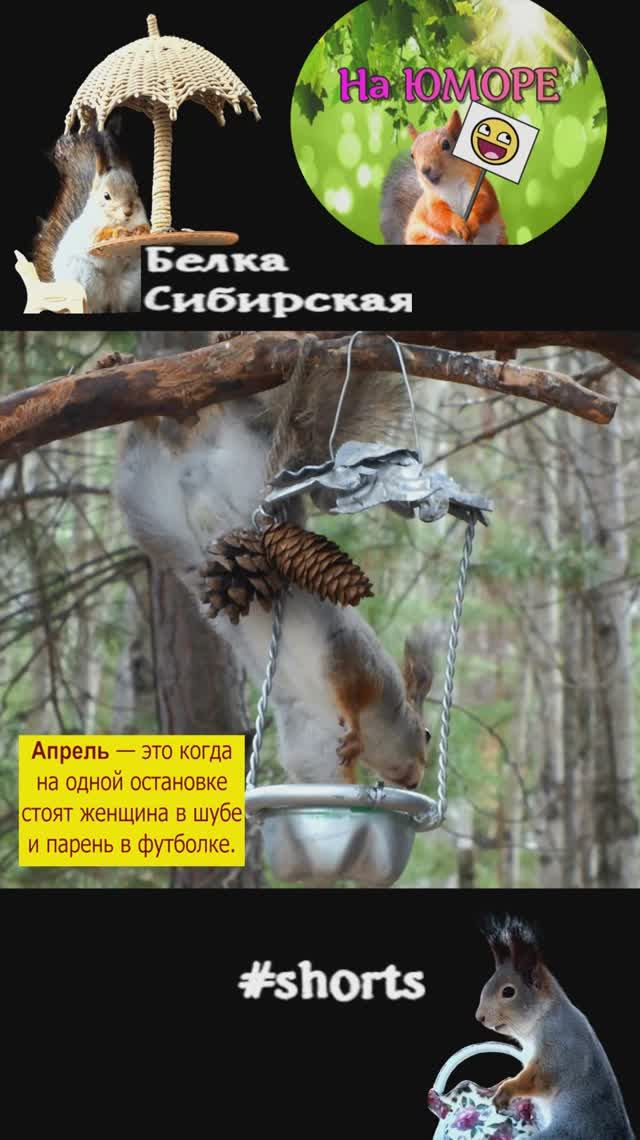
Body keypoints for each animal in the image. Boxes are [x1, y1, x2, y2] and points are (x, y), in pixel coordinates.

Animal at [33, 124, 149, 313]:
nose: (128, 212)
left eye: (137, 191)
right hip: (82, 278)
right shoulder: (88, 232)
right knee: (87, 305)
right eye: (106, 196)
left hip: (132, 282)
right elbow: (96, 239)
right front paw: (115, 232)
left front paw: (140, 231)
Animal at [114, 347, 435, 788]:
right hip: (241, 455)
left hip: (146, 500)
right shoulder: (354, 660)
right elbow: (351, 693)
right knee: (236, 410)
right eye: (426, 734)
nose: (417, 780)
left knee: (139, 442)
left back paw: (141, 405)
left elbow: (322, 778)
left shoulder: (312, 745)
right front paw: (354, 732)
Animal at [380, 111, 507, 245]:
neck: (451, 183)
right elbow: (438, 215)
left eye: (446, 144)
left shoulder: (479, 185)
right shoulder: (432, 201)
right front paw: (457, 223)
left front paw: (472, 222)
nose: (425, 170)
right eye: (412, 155)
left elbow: (485, 202)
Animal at [475, 916, 635, 1138]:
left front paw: (507, 1088)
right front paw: (499, 1084)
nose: (479, 1017)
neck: (542, 1018)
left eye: (508, 992)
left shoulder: (560, 1046)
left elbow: (540, 1077)